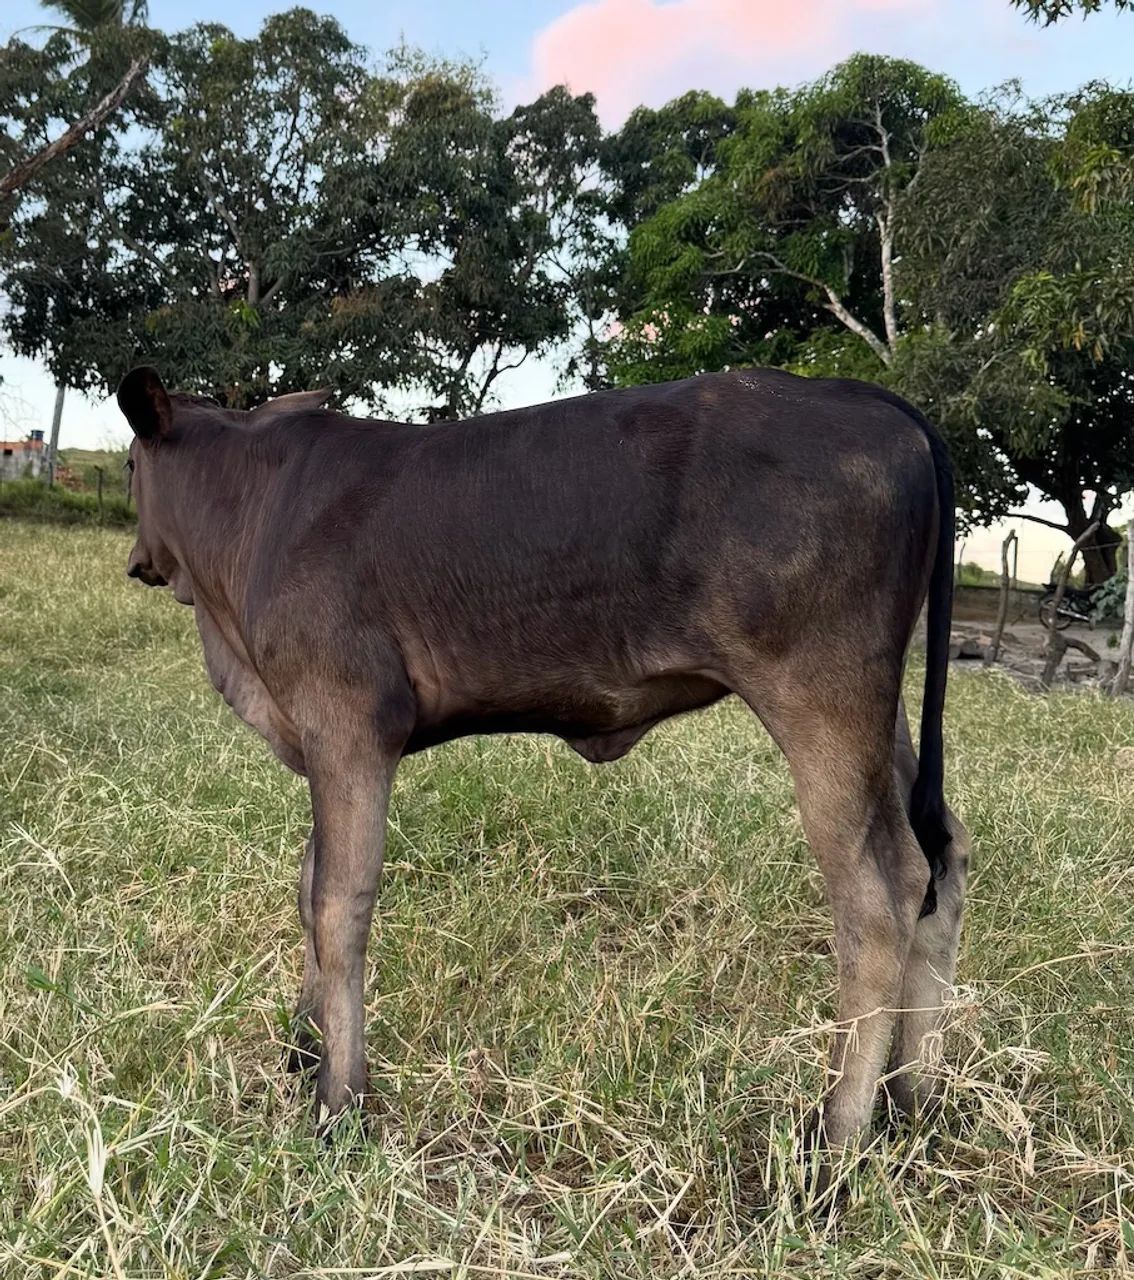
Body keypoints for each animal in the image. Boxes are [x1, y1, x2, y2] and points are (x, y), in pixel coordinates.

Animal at [117, 364, 969, 1157]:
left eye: (128, 466)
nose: (136, 560)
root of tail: (858, 394)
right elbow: (308, 883)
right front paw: (304, 1044)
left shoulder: (348, 720)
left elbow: (339, 902)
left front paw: (339, 1099)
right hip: (881, 713)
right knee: (942, 861)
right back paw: (914, 1101)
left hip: (819, 695)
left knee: (879, 897)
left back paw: (837, 1138)